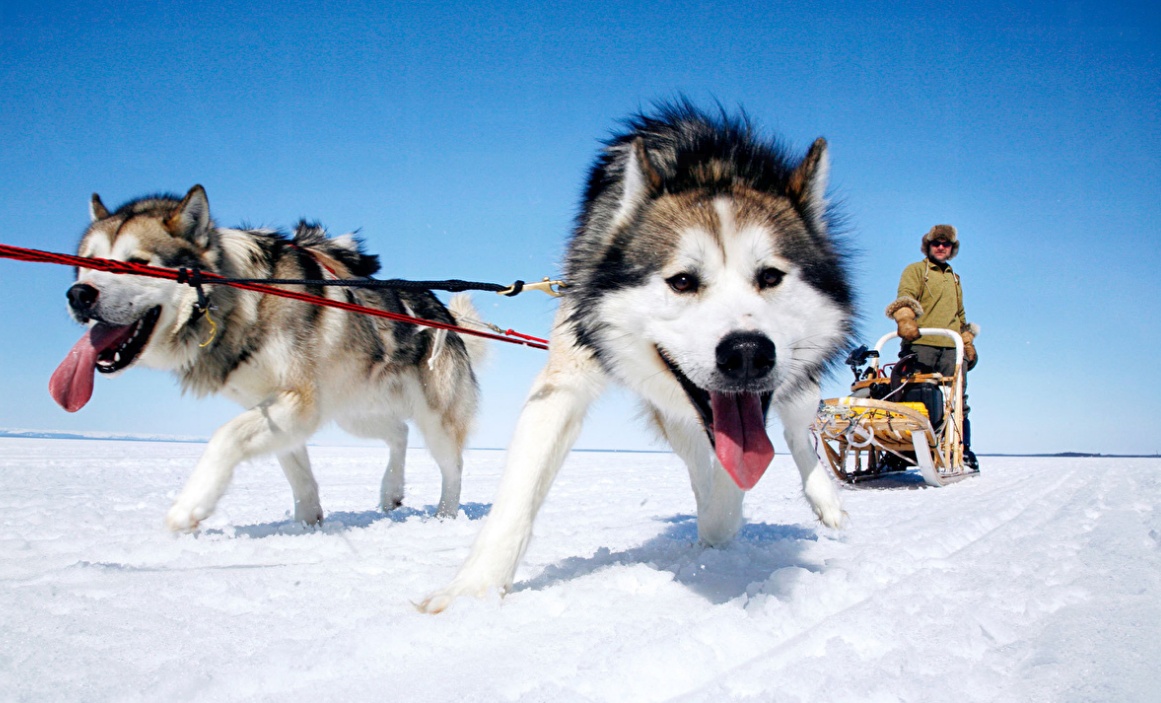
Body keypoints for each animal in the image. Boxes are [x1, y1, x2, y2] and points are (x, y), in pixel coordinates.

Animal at [49, 185, 482, 528]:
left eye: (137, 263)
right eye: (86, 261)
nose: (78, 294)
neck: (241, 299)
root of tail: (443, 312)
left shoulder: (298, 402)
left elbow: (225, 437)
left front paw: (191, 505)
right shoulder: (278, 407)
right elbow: (296, 470)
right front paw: (307, 522)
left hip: (434, 418)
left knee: (453, 467)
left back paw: (445, 515)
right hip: (350, 410)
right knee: (398, 432)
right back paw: (390, 490)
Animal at [422, 102, 859, 612]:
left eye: (770, 276)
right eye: (682, 281)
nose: (747, 353)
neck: (710, 164)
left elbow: (741, 479)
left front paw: (727, 520)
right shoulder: (564, 381)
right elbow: (519, 493)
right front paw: (472, 590)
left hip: (795, 386)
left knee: (795, 433)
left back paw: (824, 501)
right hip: (672, 412)